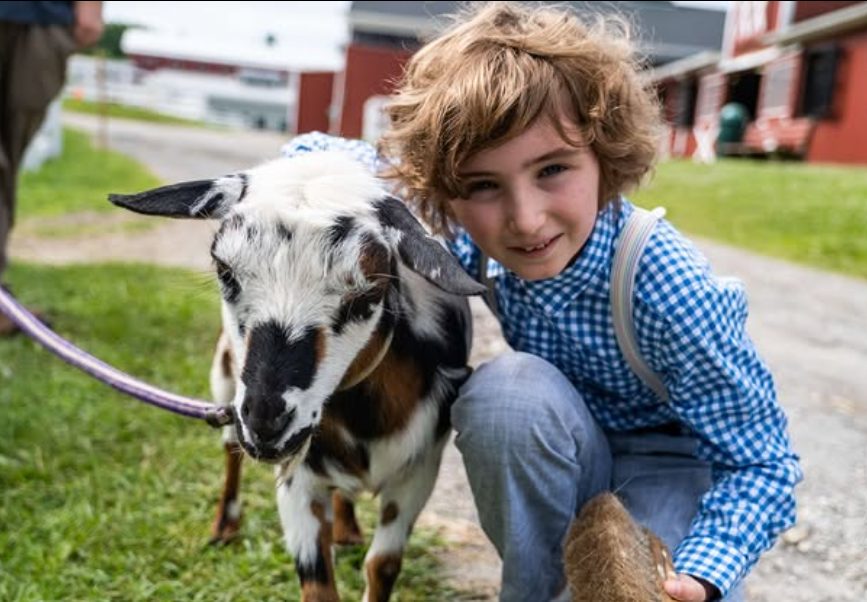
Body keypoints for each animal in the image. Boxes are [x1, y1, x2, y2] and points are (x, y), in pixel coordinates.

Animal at [110, 151, 485, 601]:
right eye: (225, 272)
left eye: (369, 292)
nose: (266, 422)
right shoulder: (297, 480)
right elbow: (318, 584)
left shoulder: (419, 472)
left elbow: (383, 566)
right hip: (224, 378)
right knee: (229, 447)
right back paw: (224, 527)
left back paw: (346, 530)